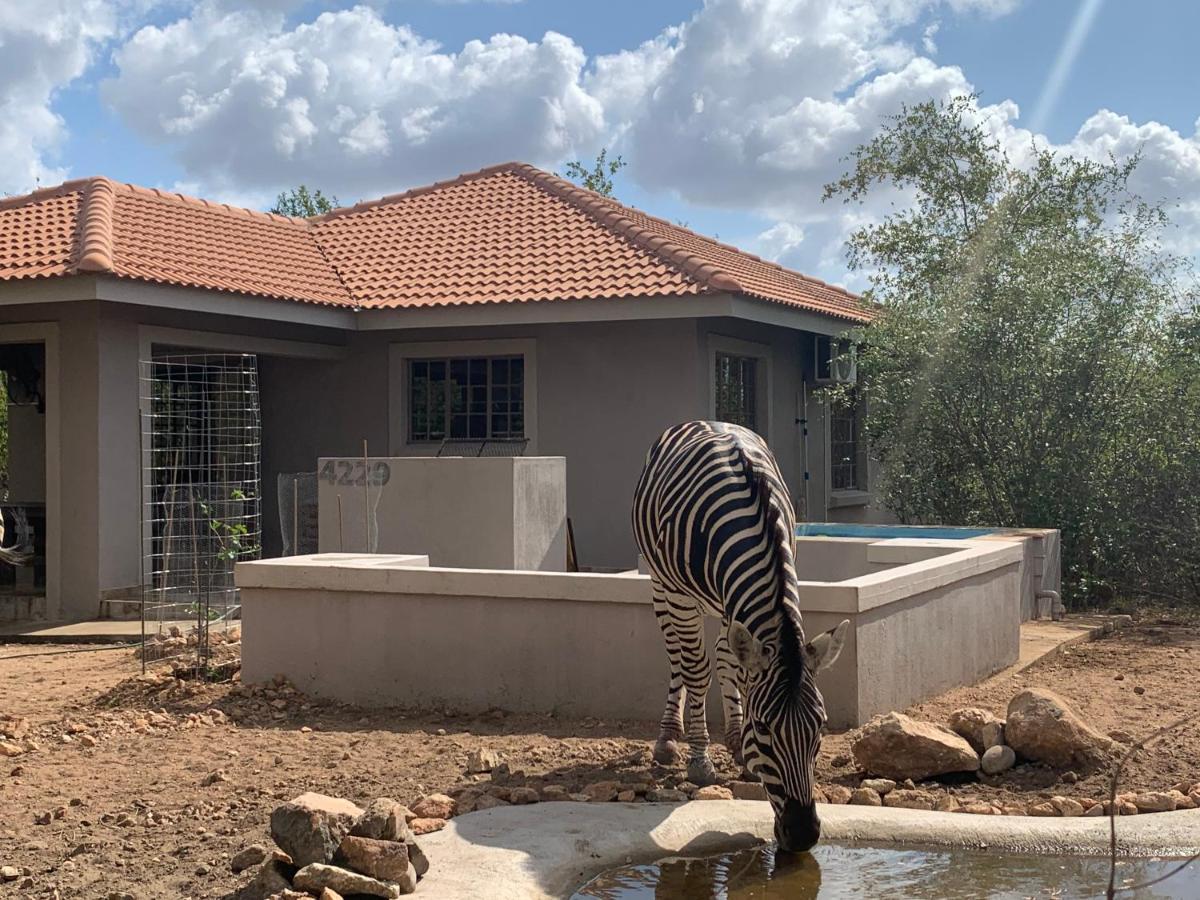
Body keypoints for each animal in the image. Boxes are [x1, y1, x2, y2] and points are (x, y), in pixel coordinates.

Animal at [633, 420, 849, 854]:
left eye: (820, 727)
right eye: (764, 728)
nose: (803, 835)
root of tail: (700, 421)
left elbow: (731, 663)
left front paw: (740, 747)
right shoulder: (680, 594)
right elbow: (696, 671)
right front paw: (700, 761)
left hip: (723, 602)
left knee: (724, 655)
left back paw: (731, 737)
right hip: (660, 584)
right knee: (677, 657)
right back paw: (668, 738)